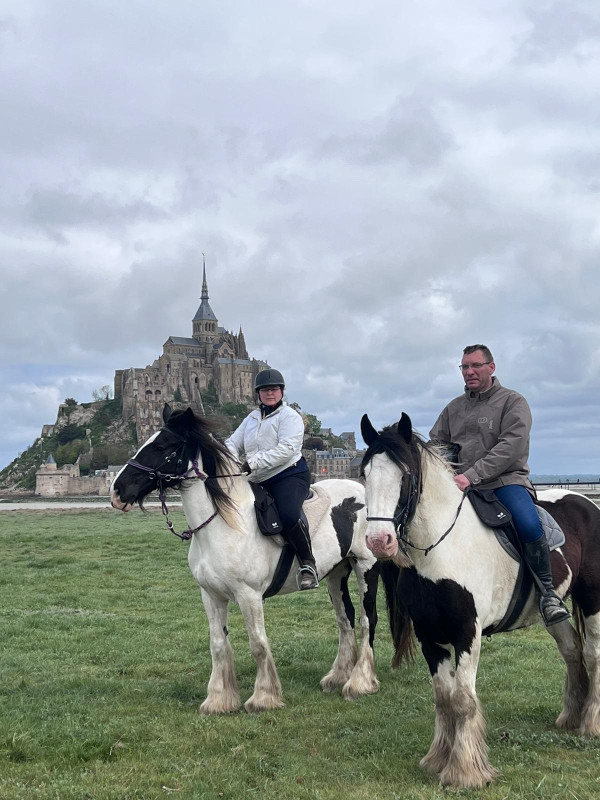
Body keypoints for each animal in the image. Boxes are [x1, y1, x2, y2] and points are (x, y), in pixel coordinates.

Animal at [109, 406, 380, 712]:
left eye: (162, 445)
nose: (117, 491)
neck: (222, 523)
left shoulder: (248, 596)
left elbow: (258, 644)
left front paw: (264, 697)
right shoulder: (211, 595)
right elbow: (217, 644)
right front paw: (219, 699)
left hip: (366, 567)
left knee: (367, 620)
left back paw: (359, 682)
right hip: (336, 573)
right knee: (345, 619)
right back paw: (337, 676)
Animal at [360, 416, 600, 792]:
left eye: (405, 476)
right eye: (366, 473)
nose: (378, 541)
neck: (441, 547)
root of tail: (586, 502)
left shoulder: (466, 634)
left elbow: (462, 699)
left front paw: (465, 771)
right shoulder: (430, 637)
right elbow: (443, 698)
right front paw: (438, 759)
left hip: (592, 597)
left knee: (592, 653)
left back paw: (590, 723)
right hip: (555, 611)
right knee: (573, 651)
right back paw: (570, 717)